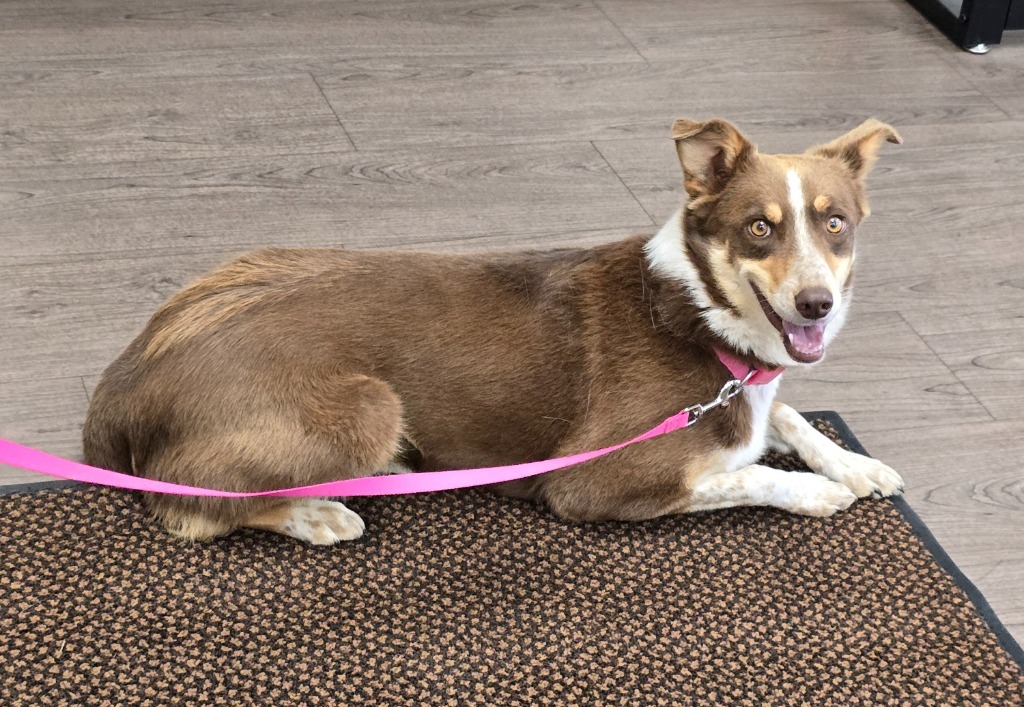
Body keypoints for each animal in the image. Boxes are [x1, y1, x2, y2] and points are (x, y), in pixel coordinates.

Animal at [86, 118, 905, 541]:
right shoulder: (592, 478)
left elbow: (789, 417)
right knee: (188, 502)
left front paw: (853, 464)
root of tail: (128, 375)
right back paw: (317, 510)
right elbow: (741, 470)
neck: (694, 309)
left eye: (835, 222)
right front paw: (813, 491)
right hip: (368, 406)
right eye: (759, 228)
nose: (816, 304)